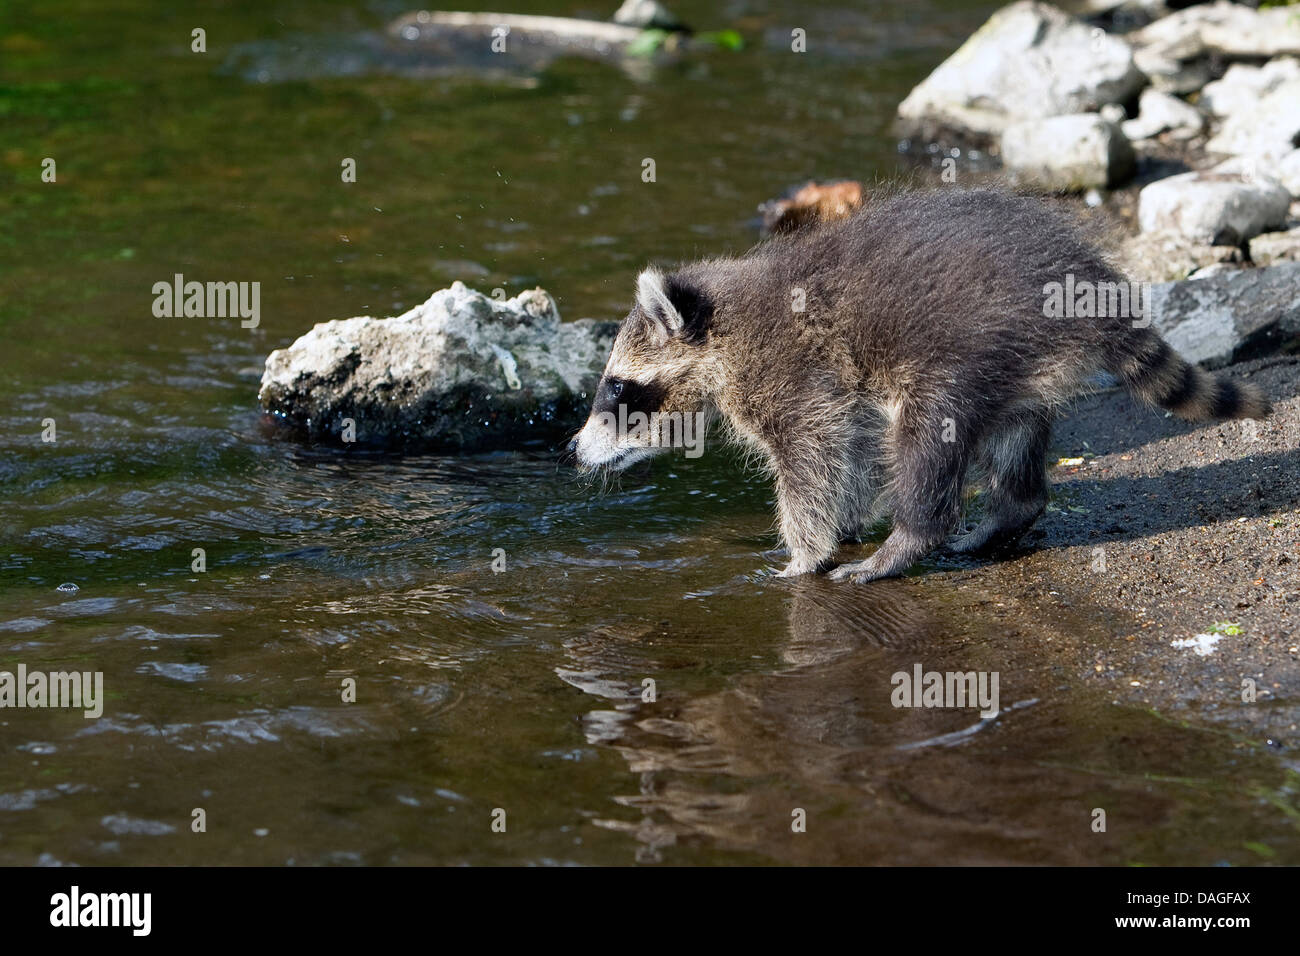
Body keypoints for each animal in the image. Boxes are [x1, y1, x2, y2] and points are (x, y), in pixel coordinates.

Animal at [574, 187, 1274, 582]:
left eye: (616, 390)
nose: (573, 449)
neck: (722, 331)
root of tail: (1079, 278)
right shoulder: (836, 390)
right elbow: (849, 450)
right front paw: (844, 523)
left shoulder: (788, 375)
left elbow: (811, 460)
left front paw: (805, 554)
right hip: (1010, 360)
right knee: (1015, 431)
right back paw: (1012, 509)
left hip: (962, 347)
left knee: (926, 438)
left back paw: (909, 539)